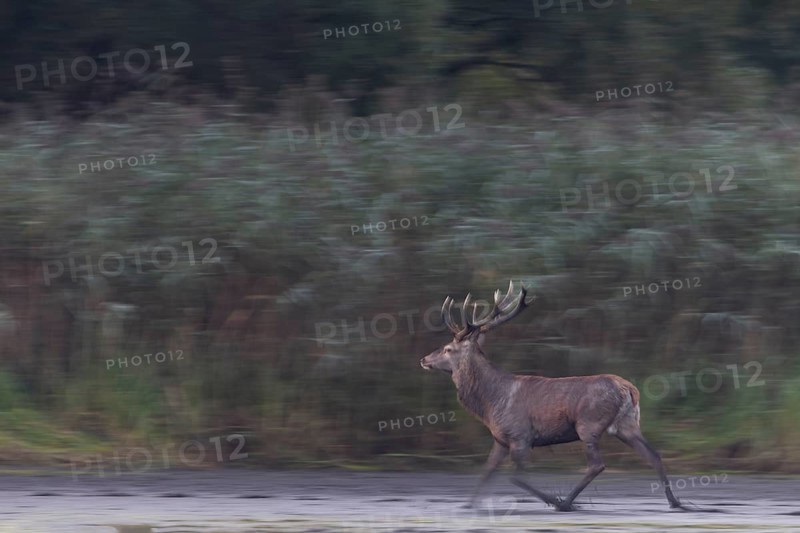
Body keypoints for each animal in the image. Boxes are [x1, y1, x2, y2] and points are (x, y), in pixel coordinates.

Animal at [419, 281, 685, 512]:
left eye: (448, 349)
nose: (424, 359)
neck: (489, 403)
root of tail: (629, 389)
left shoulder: (521, 435)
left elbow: (517, 478)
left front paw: (554, 500)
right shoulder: (501, 439)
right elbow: (486, 472)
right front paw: (467, 505)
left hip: (588, 423)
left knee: (597, 464)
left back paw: (566, 503)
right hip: (628, 424)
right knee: (653, 455)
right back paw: (675, 502)